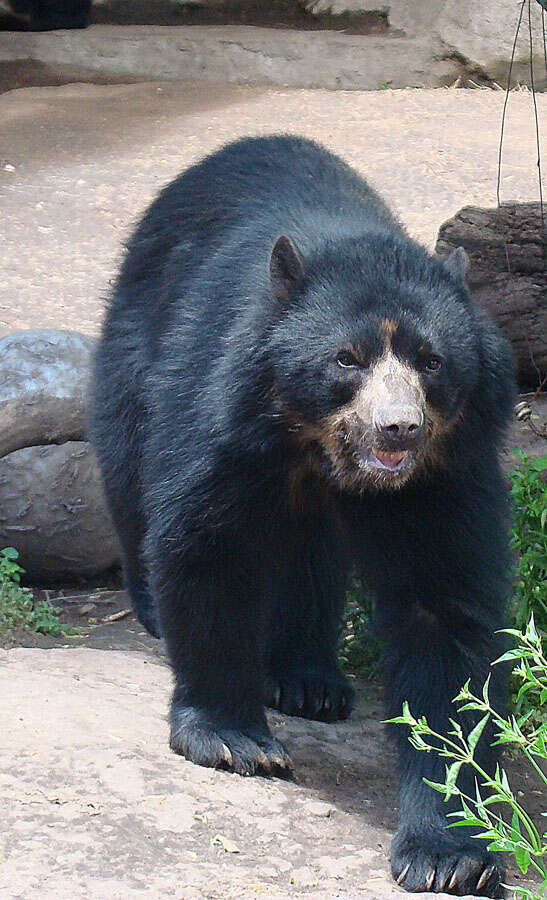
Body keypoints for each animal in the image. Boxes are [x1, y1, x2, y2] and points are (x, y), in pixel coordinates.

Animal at [91, 137, 520, 896]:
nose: (398, 430)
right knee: (127, 461)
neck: (320, 447)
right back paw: (153, 611)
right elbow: (206, 548)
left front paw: (449, 853)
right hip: (135, 343)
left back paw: (308, 680)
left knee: (310, 560)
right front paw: (232, 739)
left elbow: (445, 616)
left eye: (431, 361)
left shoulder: (444, 474)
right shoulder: (221, 412)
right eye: (346, 360)